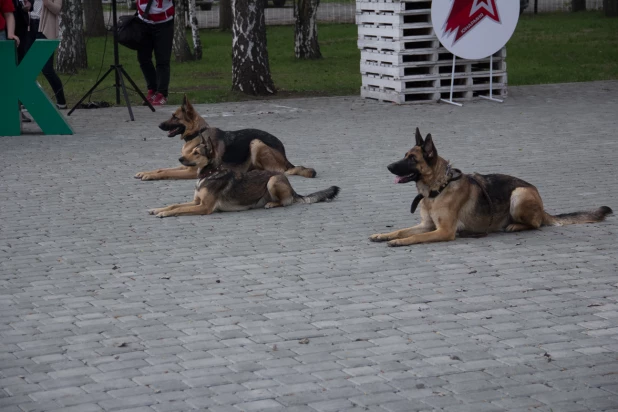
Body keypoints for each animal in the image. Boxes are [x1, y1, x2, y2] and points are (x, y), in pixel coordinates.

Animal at [147, 139, 340, 219]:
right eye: (190, 151)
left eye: (196, 153)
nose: (180, 159)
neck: (209, 173)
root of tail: (294, 190)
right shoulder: (196, 202)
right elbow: (175, 205)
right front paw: (158, 209)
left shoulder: (204, 207)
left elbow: (180, 209)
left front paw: (164, 213)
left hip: (272, 180)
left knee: (285, 202)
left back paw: (272, 203)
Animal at [368, 127, 608, 246]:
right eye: (404, 156)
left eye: (411, 159)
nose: (388, 166)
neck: (438, 188)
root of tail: (543, 206)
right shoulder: (427, 225)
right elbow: (401, 230)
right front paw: (383, 235)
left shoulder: (443, 231)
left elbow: (415, 237)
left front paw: (401, 241)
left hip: (518, 194)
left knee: (536, 224)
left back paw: (514, 225)